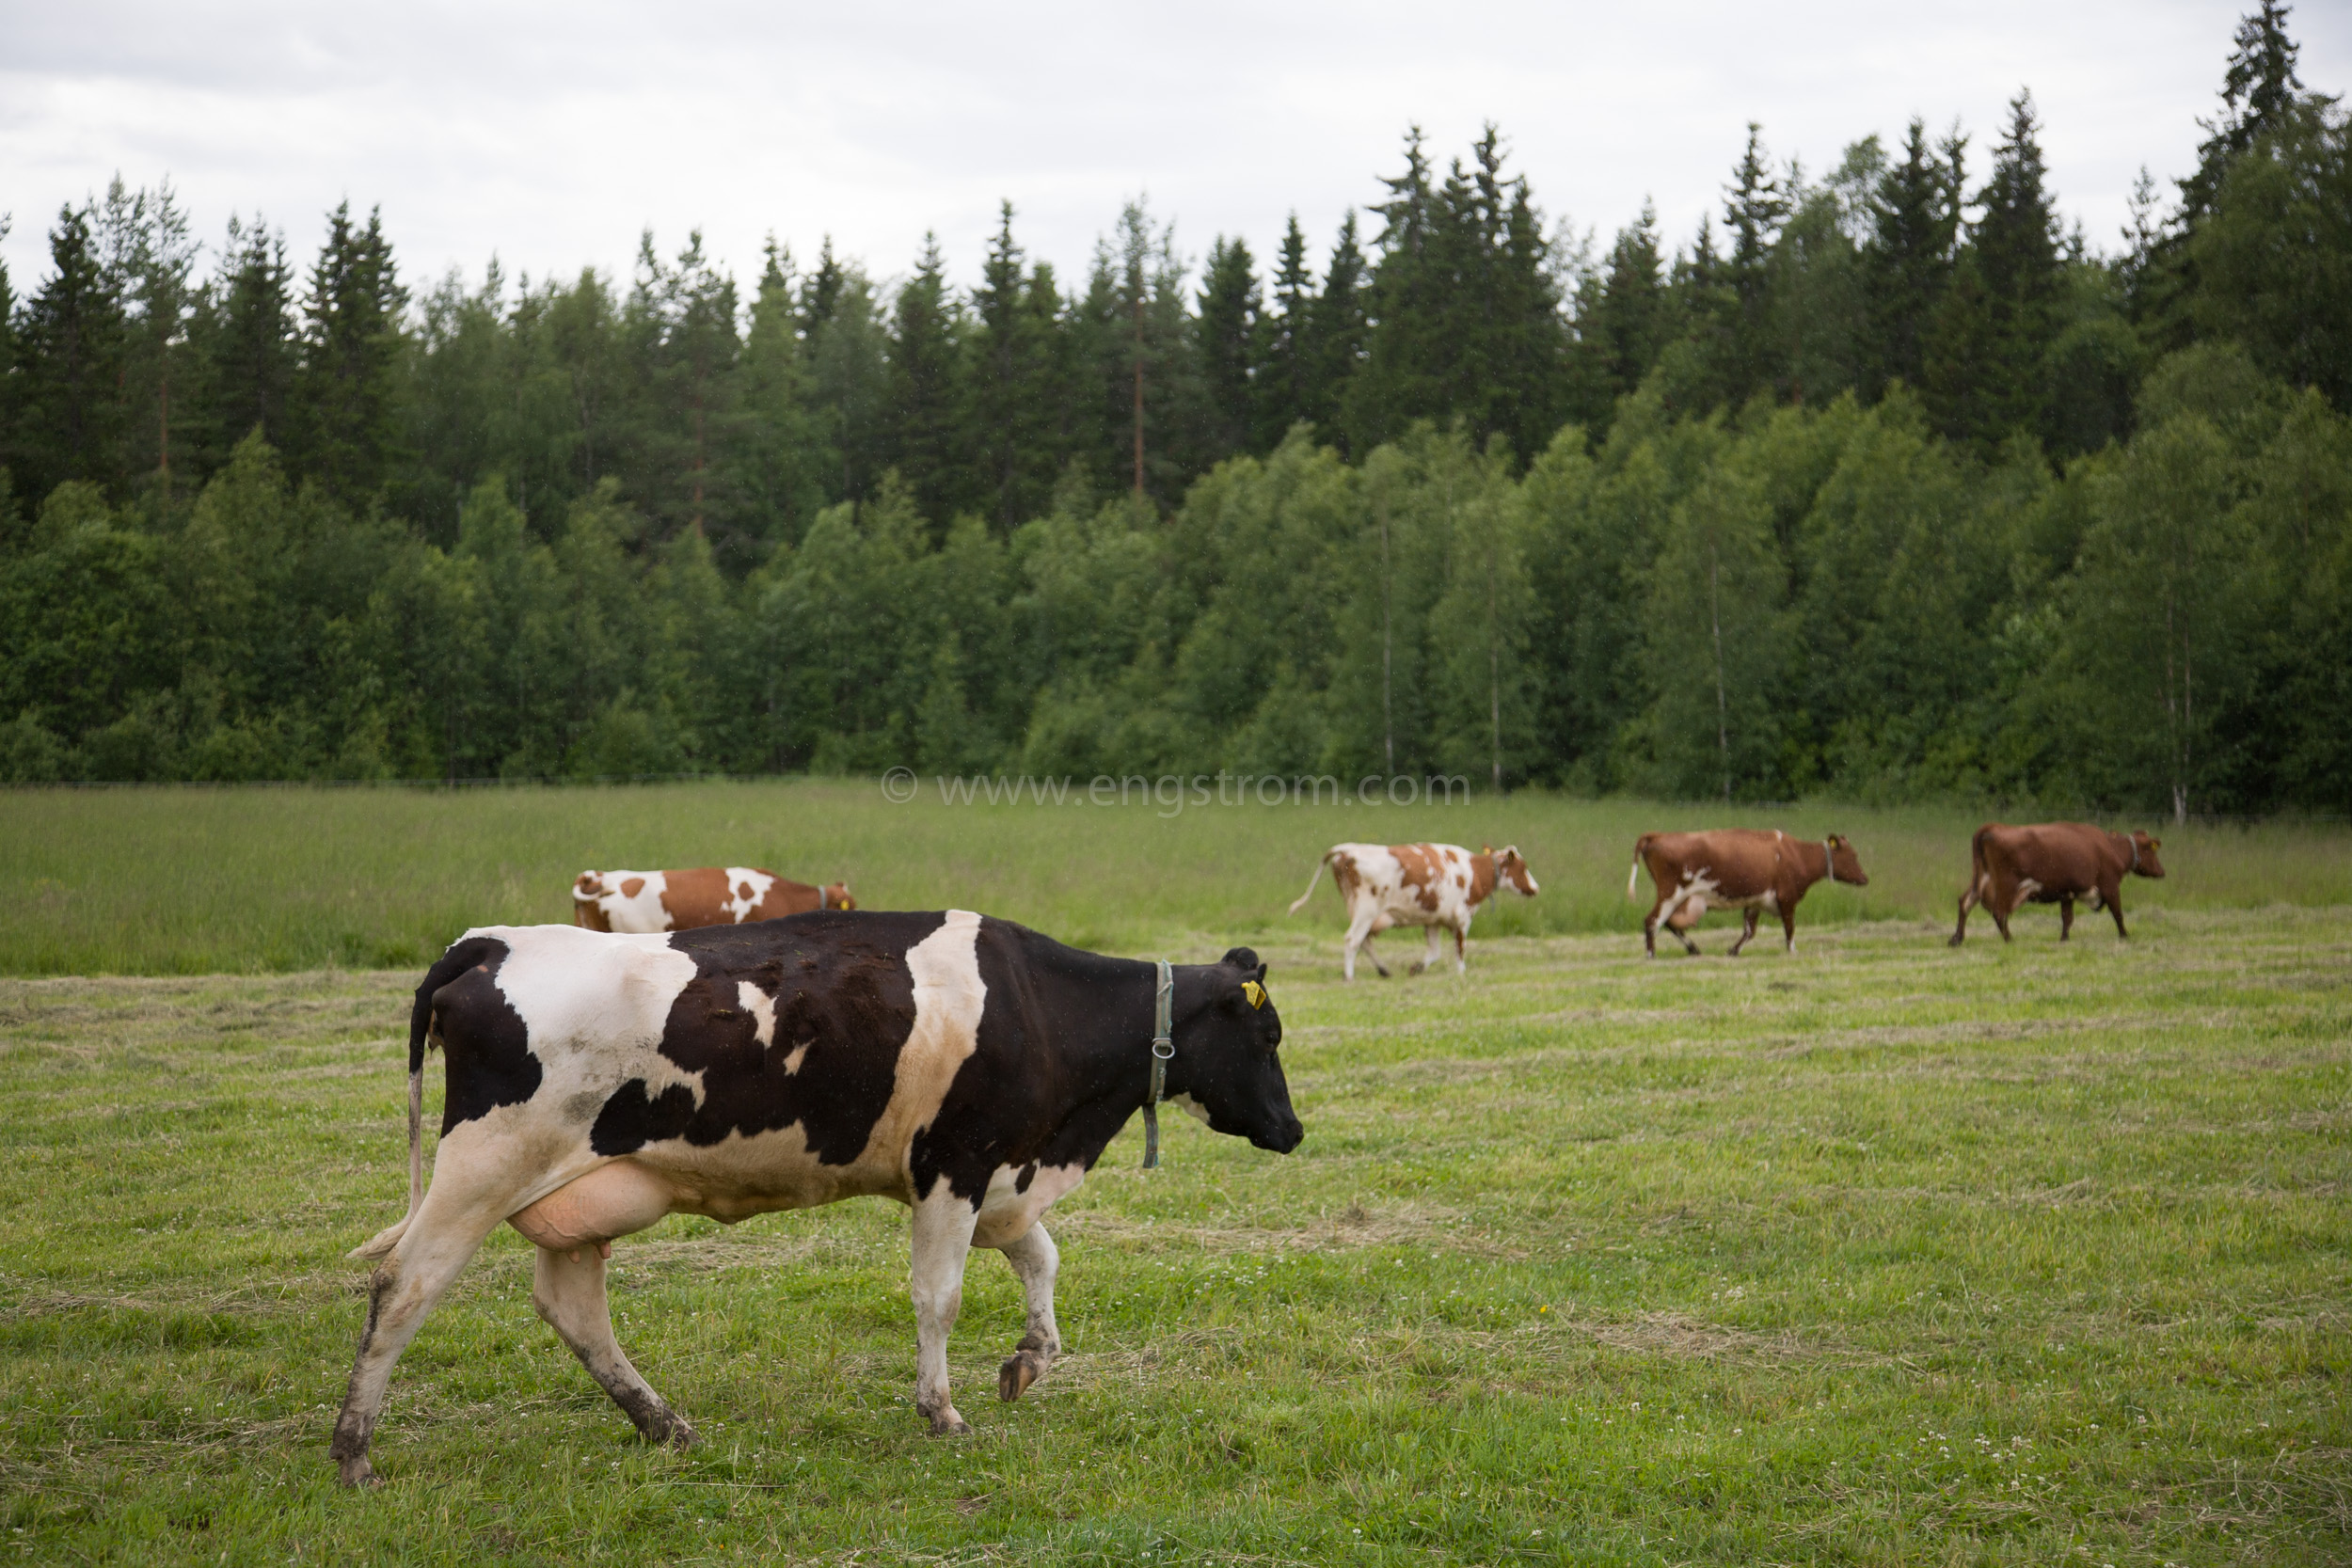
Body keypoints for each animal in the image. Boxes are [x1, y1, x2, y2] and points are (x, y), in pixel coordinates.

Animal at [326, 907, 1308, 1485]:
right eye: (1267, 1036)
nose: (1295, 1131)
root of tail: (491, 939)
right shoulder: (954, 1163)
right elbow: (939, 1297)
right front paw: (941, 1410)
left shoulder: (999, 1177)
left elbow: (1044, 1260)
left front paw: (1028, 1361)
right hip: (481, 1165)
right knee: (403, 1286)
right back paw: (353, 1450)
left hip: (576, 1195)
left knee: (573, 1309)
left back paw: (664, 1424)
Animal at [1289, 846, 1543, 982]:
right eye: (1523, 867)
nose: (1536, 888)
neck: (1474, 871)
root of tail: (1348, 849)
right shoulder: (1463, 916)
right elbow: (1460, 947)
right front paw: (1461, 972)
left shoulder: (1433, 921)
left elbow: (1434, 952)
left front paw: (1417, 968)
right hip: (1366, 910)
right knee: (1353, 940)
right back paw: (1349, 976)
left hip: (1364, 914)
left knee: (1364, 941)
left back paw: (1383, 970)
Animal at [1628, 832, 1863, 958]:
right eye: (1853, 855)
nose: (1865, 878)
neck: (1797, 855)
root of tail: (1657, 835)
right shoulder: (1787, 898)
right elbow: (1789, 928)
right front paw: (1792, 952)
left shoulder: (1755, 901)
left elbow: (1749, 931)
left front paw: (1733, 951)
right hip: (1671, 893)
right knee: (1653, 921)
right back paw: (1651, 955)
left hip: (1683, 899)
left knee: (1670, 924)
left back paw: (1694, 949)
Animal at [1947, 822, 2164, 944]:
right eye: (2152, 850)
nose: (2162, 871)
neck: (2111, 848)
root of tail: (1992, 826)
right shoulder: (2110, 886)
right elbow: (2117, 913)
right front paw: (2125, 936)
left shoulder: (2067, 893)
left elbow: (2067, 918)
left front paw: (2064, 939)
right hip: (2006, 884)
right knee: (1999, 912)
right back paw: (2010, 940)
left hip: (1980, 880)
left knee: (1965, 902)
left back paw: (1957, 938)